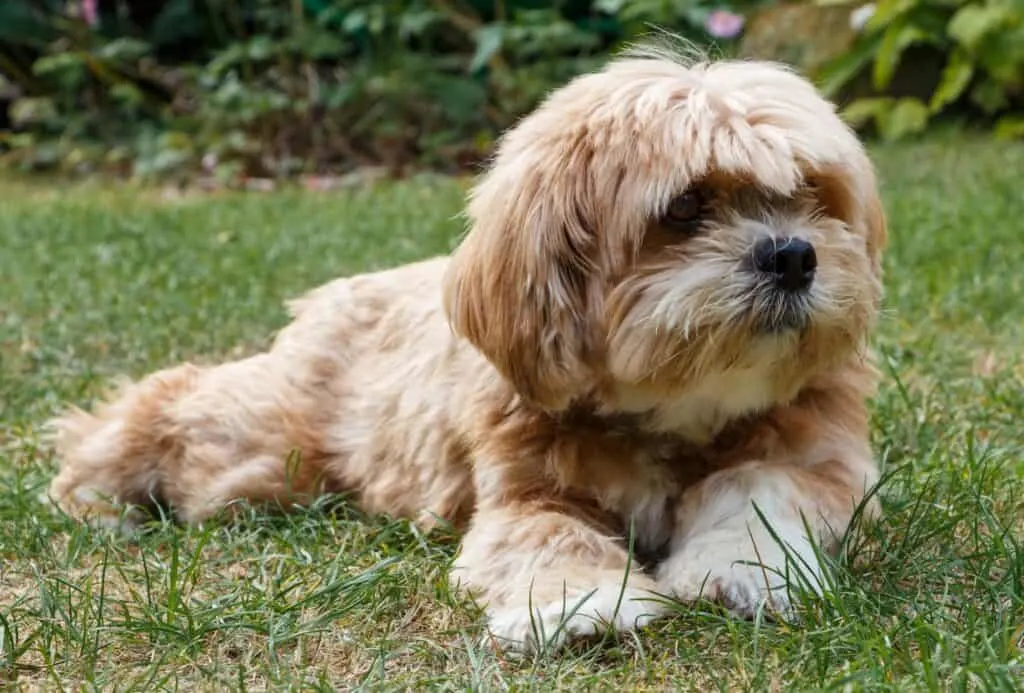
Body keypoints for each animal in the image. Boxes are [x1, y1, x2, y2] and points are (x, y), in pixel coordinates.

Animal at [46, 46, 888, 651]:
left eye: (810, 193)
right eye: (685, 208)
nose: (793, 255)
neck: (677, 412)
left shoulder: (811, 457)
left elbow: (758, 497)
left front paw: (733, 571)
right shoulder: (526, 491)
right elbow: (546, 535)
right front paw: (578, 602)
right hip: (260, 448)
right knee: (173, 397)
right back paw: (94, 482)